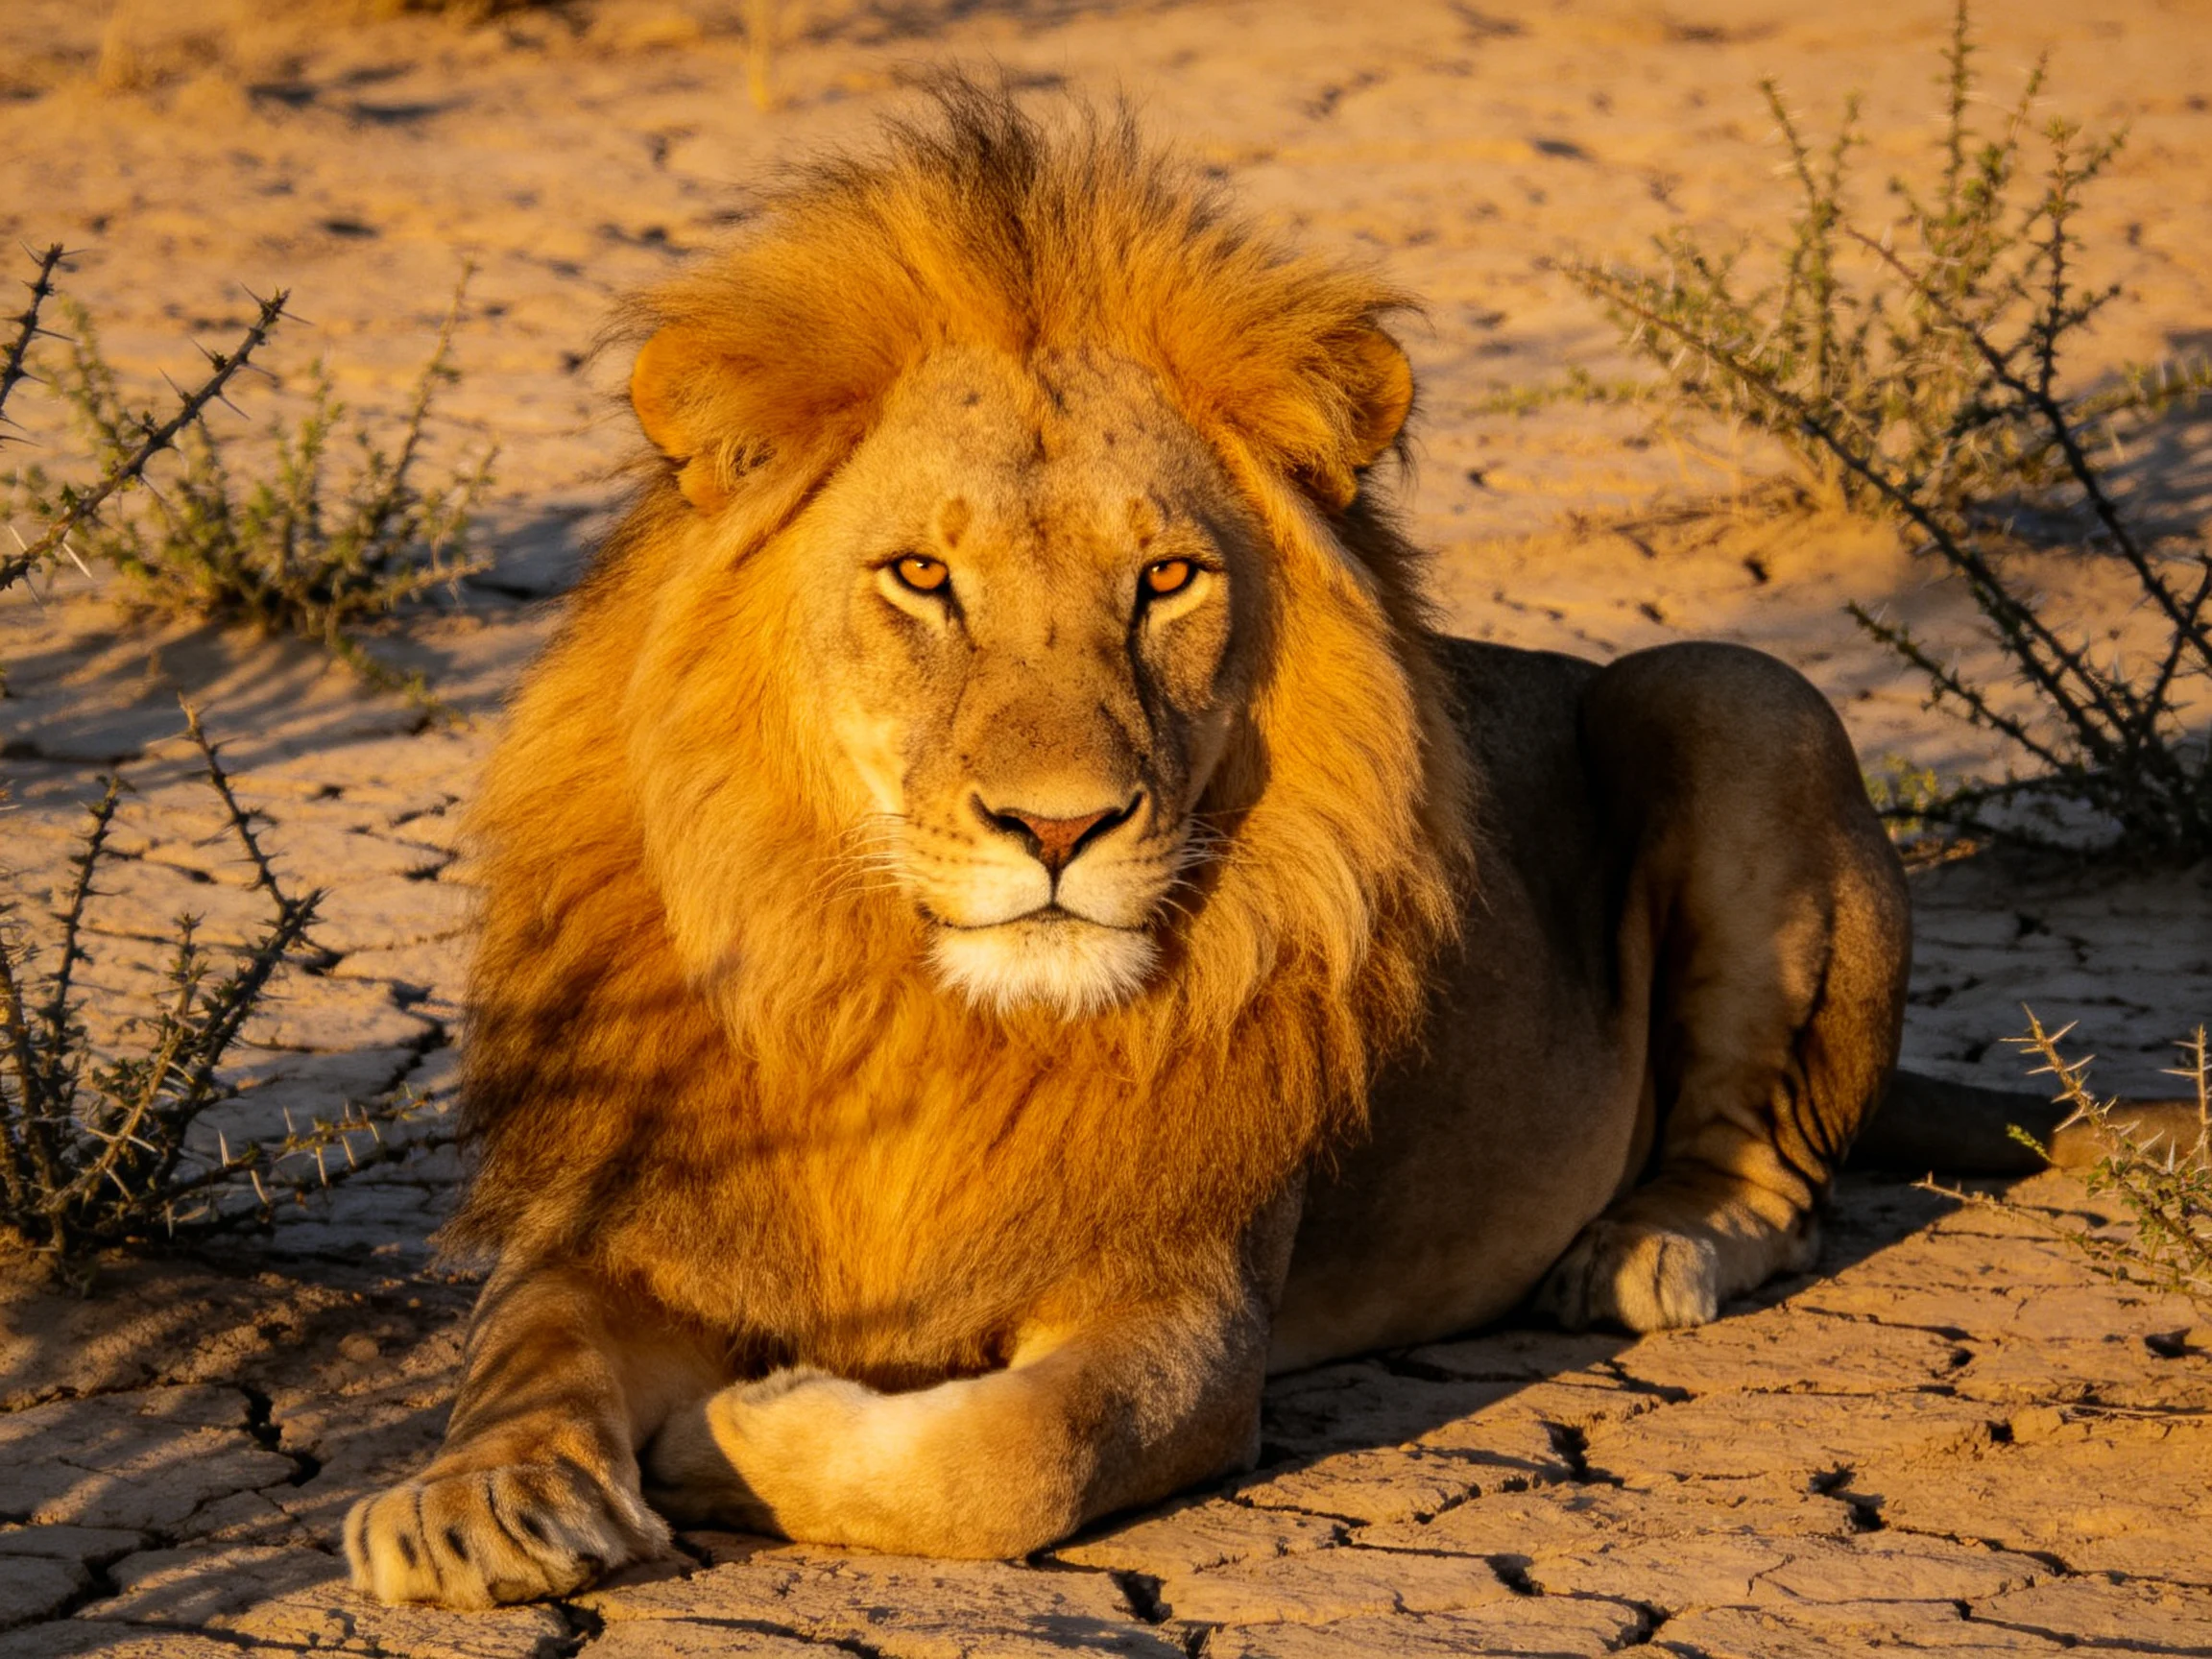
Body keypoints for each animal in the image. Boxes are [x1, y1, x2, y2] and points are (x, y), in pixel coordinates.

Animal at [345, 89, 1911, 1608]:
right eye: (922, 575)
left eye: (1165, 577)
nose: (1059, 825)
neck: (920, 1015)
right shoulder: (641, 1209)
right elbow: (526, 1344)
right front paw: (478, 1504)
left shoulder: (1189, 1310)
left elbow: (1017, 1458)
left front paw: (733, 1437)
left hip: (1732, 690)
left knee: (1778, 1173)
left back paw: (1645, 1252)